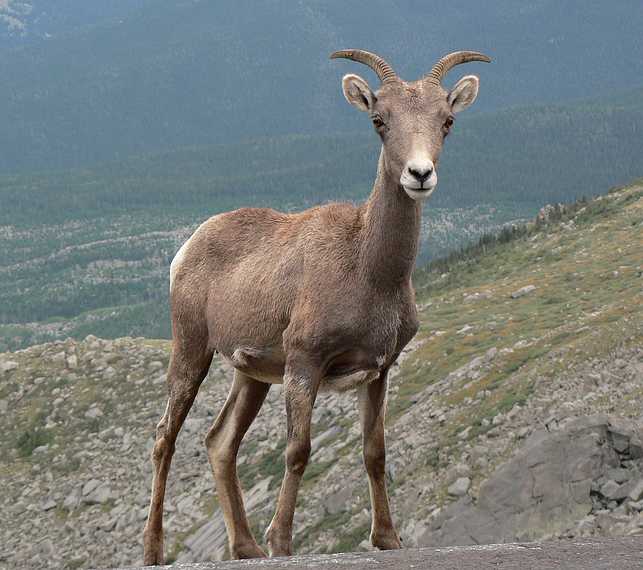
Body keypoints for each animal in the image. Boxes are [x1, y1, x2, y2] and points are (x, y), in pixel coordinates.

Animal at [143, 46, 490, 560]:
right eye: (378, 120)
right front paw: (282, 542)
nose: (419, 174)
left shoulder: (379, 370)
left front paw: (388, 539)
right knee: (165, 438)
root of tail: (186, 249)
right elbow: (298, 451)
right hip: (191, 351)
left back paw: (246, 547)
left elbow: (374, 451)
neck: (367, 269)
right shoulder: (305, 363)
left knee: (220, 442)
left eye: (447, 121)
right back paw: (155, 551)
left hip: (251, 376)